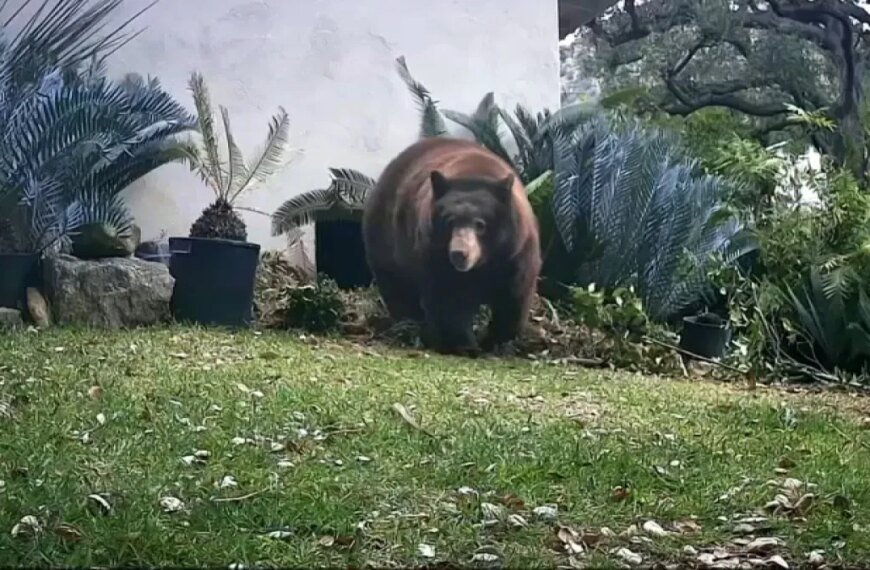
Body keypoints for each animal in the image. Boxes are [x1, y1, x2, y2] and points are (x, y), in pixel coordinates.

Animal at [362, 136, 541, 356]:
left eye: (480, 224)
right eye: (449, 222)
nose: (459, 254)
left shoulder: (516, 251)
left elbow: (514, 295)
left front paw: (497, 342)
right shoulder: (433, 253)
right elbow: (448, 299)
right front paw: (464, 344)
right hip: (385, 242)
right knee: (398, 288)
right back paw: (411, 327)